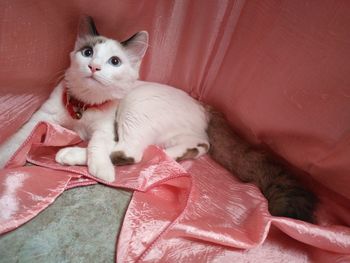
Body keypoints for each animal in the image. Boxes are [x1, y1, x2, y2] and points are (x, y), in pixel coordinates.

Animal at [0, 16, 208, 182]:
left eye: (114, 61)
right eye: (87, 53)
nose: (94, 66)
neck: (83, 104)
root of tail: (203, 110)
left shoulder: (106, 127)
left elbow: (99, 143)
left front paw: (100, 167)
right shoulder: (42, 115)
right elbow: (19, 137)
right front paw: (6, 155)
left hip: (135, 103)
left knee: (129, 151)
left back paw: (71, 154)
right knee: (196, 146)